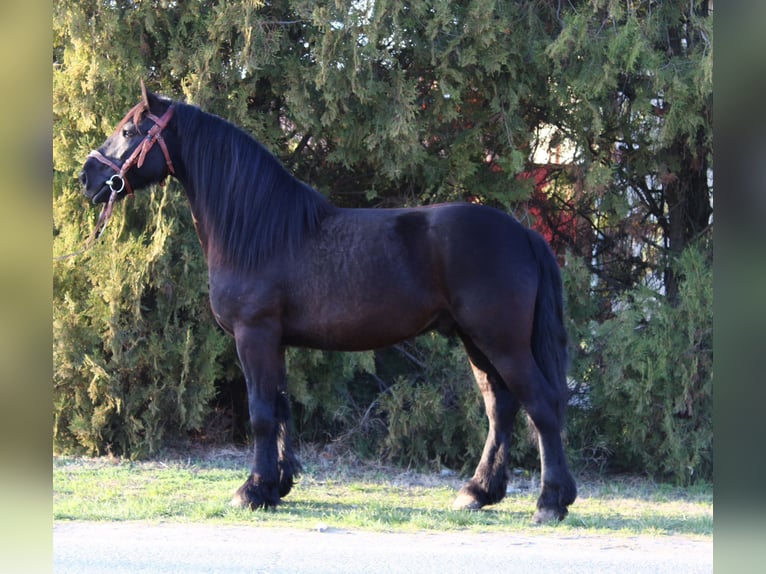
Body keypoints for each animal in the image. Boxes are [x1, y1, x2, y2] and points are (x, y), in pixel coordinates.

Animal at [79, 83, 577, 523]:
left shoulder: (254, 334)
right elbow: (280, 409)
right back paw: (478, 492)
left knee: (541, 405)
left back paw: (550, 502)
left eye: (129, 130)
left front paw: (252, 491)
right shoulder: (274, 341)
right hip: (476, 341)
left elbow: (261, 413)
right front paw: (277, 486)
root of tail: (523, 234)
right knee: (501, 408)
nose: (87, 177)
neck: (260, 231)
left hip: (502, 342)